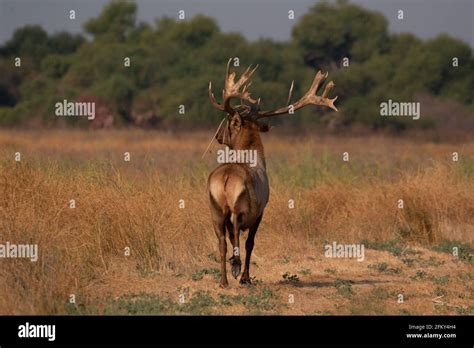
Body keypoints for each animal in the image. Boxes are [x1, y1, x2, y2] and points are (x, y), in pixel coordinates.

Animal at [207, 58, 336, 286]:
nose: (218, 136)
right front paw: (246, 277)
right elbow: (250, 242)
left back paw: (223, 280)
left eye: (228, 124)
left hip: (215, 208)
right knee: (236, 232)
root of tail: (226, 178)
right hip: (240, 206)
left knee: (222, 240)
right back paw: (236, 269)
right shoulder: (261, 209)